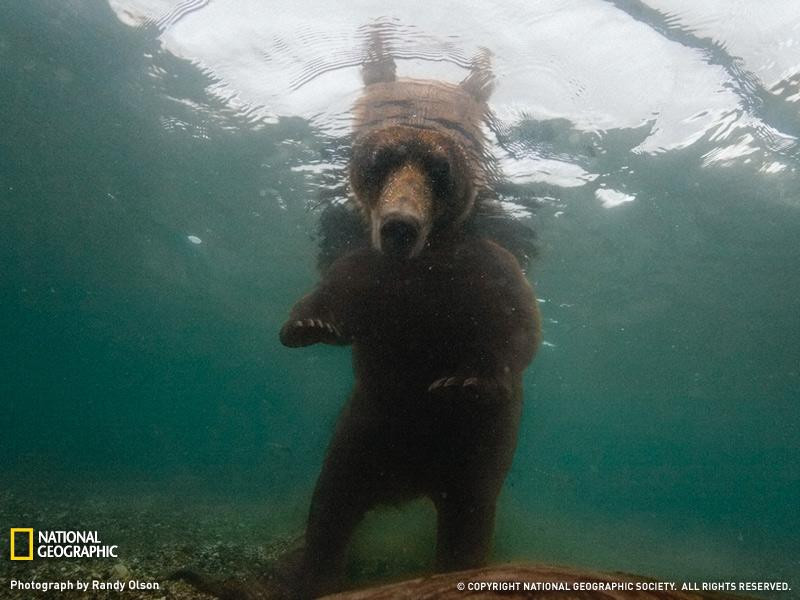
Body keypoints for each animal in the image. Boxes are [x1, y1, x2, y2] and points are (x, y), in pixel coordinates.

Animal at [278, 39, 540, 596]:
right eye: (381, 161)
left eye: (440, 168)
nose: (400, 225)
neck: (423, 266)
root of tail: (409, 483)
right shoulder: (373, 275)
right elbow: (334, 295)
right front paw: (308, 326)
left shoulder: (485, 271)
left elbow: (515, 328)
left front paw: (465, 379)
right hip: (364, 429)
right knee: (332, 503)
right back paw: (316, 573)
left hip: (473, 453)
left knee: (467, 520)